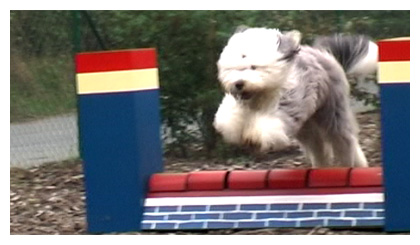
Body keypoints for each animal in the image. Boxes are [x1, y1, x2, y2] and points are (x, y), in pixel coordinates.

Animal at [213, 27, 378, 168]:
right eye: (234, 69)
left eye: (253, 67)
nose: (238, 84)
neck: (261, 95)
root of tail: (325, 54)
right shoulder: (240, 106)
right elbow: (229, 116)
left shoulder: (288, 105)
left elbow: (269, 124)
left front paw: (253, 137)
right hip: (307, 126)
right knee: (318, 147)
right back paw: (321, 166)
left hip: (332, 112)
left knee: (344, 141)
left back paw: (354, 165)